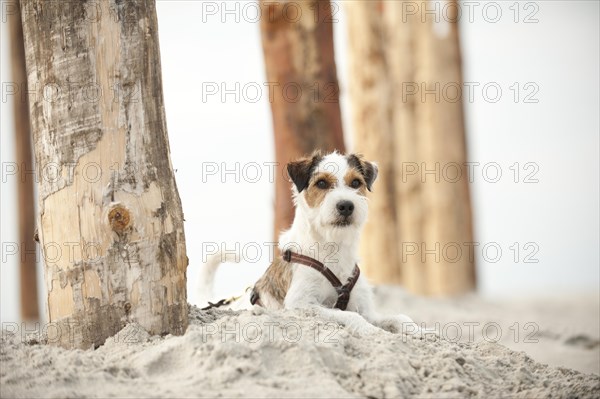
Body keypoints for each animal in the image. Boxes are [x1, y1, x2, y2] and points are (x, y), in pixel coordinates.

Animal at [199, 152, 420, 336]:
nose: (346, 205)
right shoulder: (302, 303)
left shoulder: (366, 309)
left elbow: (399, 317)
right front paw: (370, 330)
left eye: (356, 182)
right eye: (321, 183)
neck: (332, 247)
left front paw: (421, 331)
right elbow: (349, 315)